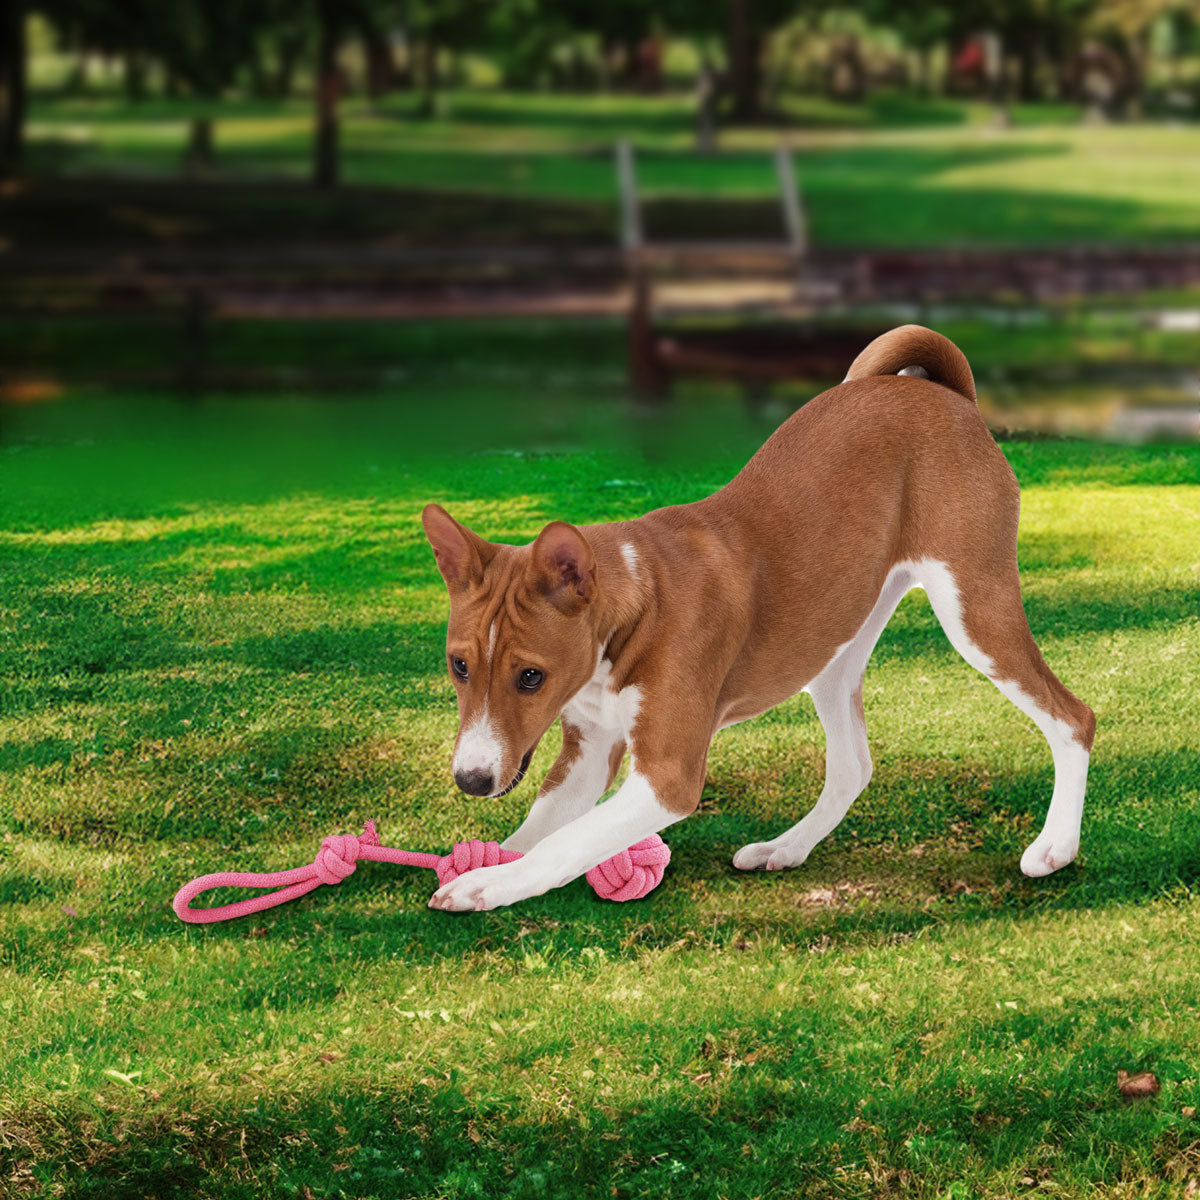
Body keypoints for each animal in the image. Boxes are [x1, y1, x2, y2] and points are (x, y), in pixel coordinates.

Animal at [422, 326, 1099, 907]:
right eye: (459, 666)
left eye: (530, 676)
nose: (470, 781)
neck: (633, 609)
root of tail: (944, 393)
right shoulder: (586, 754)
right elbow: (537, 834)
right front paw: (486, 865)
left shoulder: (668, 775)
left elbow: (562, 845)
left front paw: (483, 886)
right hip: (831, 647)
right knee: (853, 765)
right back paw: (786, 848)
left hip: (975, 610)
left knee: (1073, 718)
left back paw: (1055, 848)